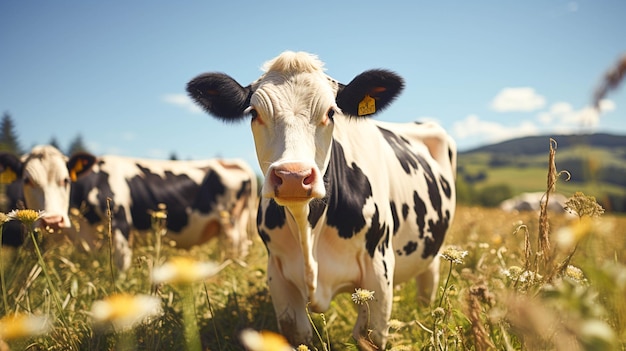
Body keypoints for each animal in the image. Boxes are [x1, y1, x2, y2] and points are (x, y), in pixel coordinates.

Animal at [0, 145, 258, 270]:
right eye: (27, 180)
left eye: (65, 180)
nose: (53, 220)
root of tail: (232, 162)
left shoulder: (121, 227)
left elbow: (121, 268)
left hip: (231, 227)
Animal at [185, 51, 454, 348]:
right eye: (254, 113)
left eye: (331, 112)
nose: (293, 175)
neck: (308, 229)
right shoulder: (278, 275)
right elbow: (298, 334)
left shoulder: (379, 269)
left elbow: (369, 336)